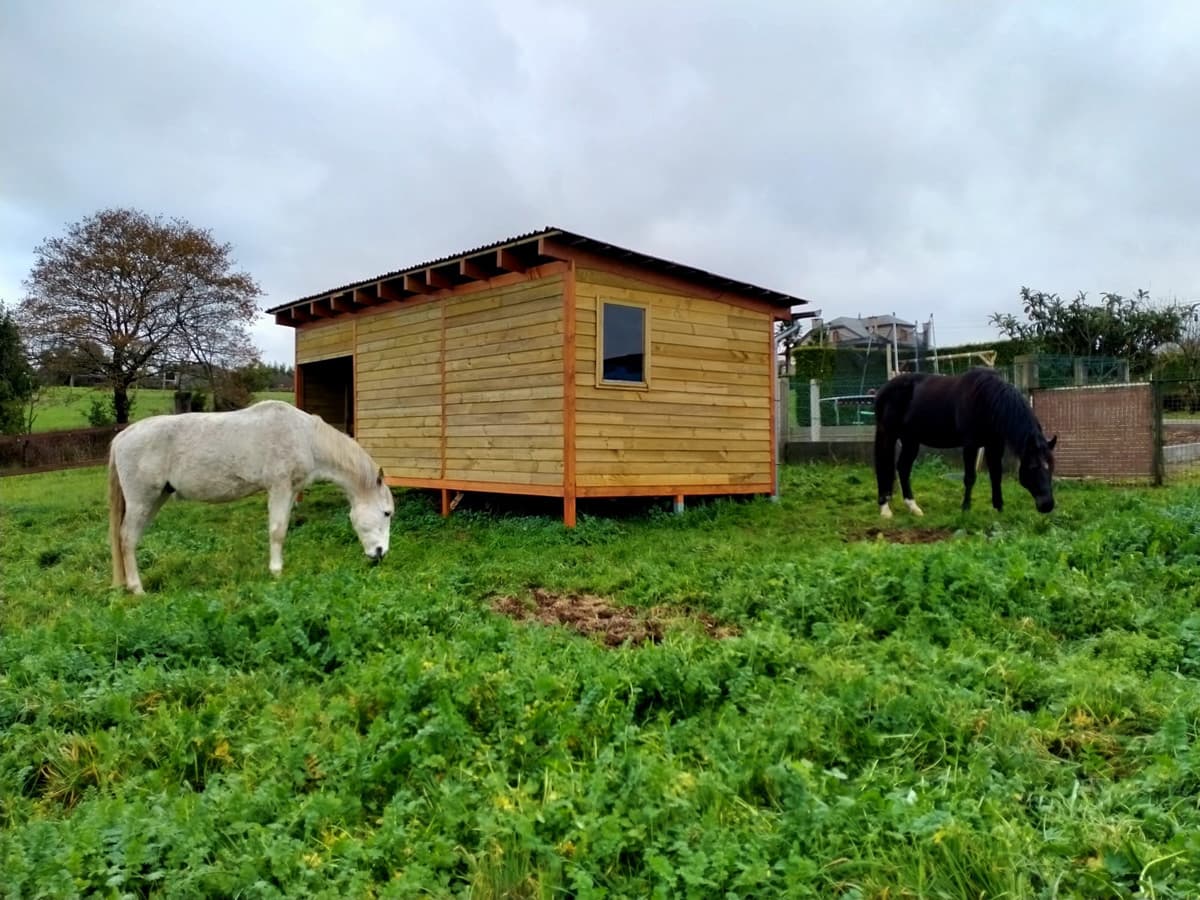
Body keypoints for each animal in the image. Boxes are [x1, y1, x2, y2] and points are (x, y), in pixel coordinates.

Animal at [109, 400, 393, 595]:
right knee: (127, 539)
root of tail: (121, 437)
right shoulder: (279, 488)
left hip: (154, 500)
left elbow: (282, 529)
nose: (380, 553)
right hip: (141, 501)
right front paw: (276, 573)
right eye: (387, 513)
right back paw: (137, 589)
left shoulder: (289, 491)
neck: (305, 437)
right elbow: (277, 531)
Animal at [873, 367, 1060, 518]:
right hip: (887, 434)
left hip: (910, 440)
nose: (1048, 505)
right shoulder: (970, 445)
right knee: (882, 466)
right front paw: (965, 508)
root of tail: (883, 390)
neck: (986, 400)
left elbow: (996, 475)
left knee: (903, 468)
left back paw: (913, 507)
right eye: (1032, 467)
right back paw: (885, 509)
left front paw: (999, 508)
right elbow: (970, 477)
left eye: (1051, 467)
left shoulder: (995, 444)